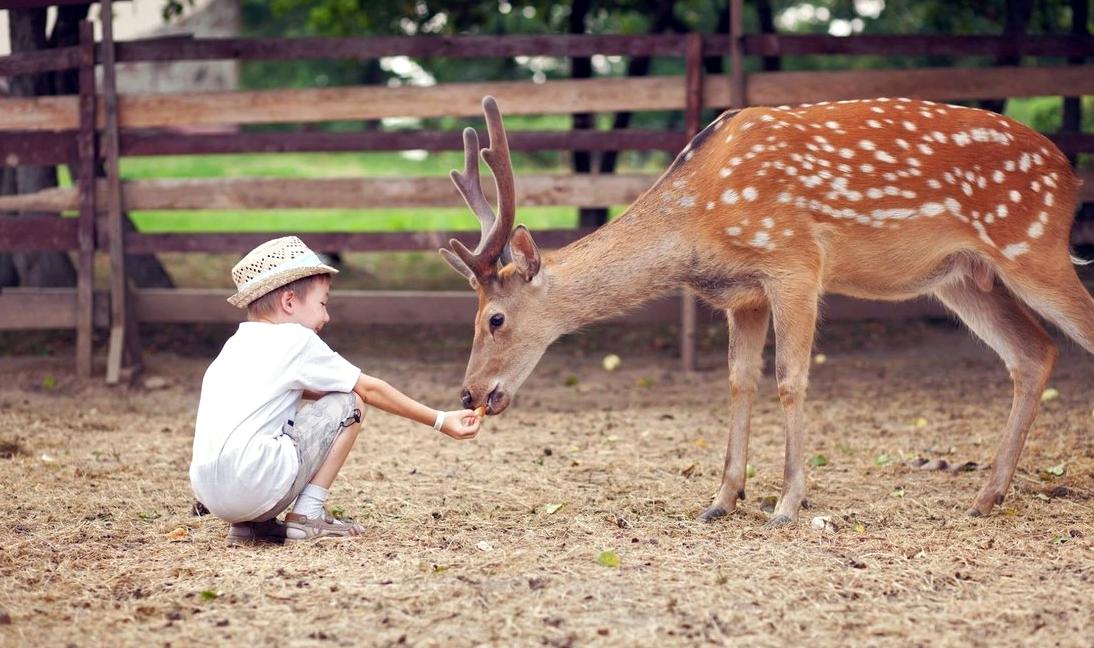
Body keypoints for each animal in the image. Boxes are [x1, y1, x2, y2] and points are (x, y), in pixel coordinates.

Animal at [439, 94, 1089, 521]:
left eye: (495, 318)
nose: (470, 394)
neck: (696, 223)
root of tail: (1070, 175)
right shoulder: (742, 294)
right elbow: (738, 379)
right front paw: (724, 498)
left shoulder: (794, 262)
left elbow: (790, 378)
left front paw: (788, 502)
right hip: (961, 278)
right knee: (1035, 353)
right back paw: (986, 496)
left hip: (1033, 245)